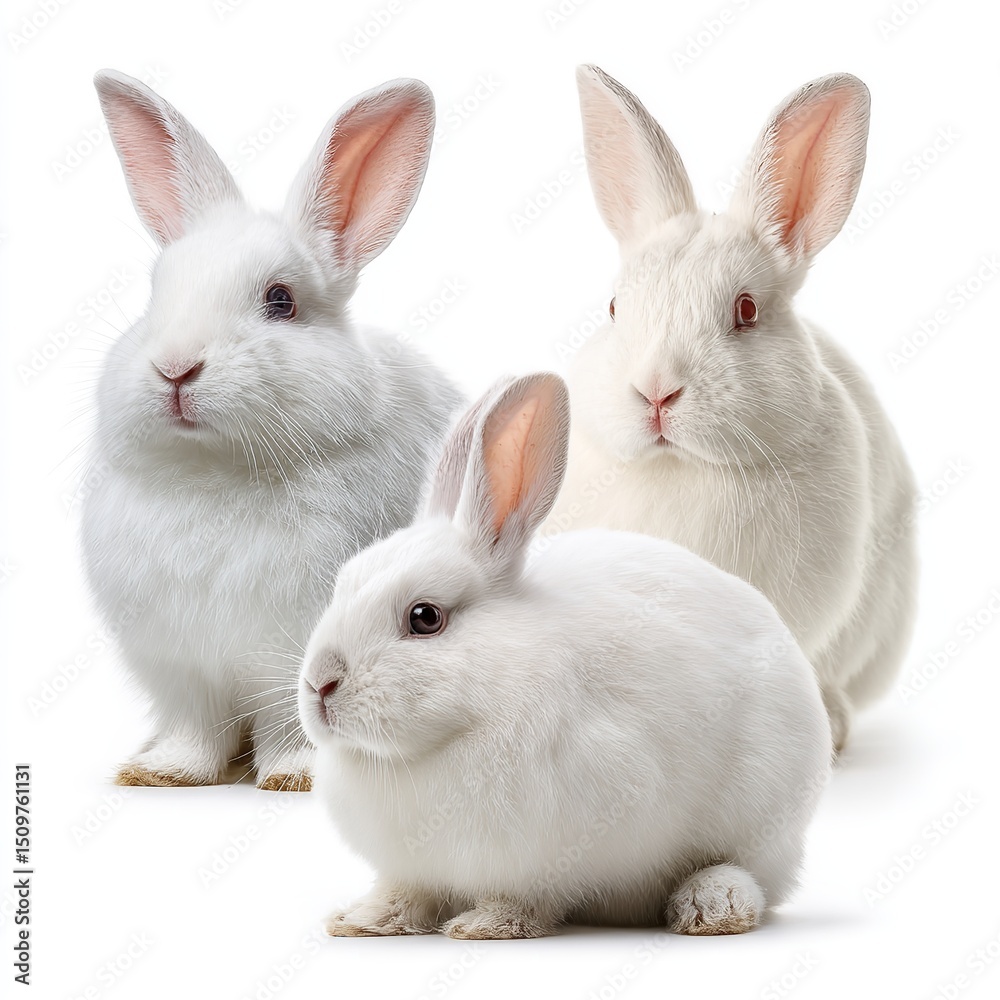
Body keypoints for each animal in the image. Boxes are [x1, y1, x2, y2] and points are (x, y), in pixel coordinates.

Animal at [81, 70, 463, 792]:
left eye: (280, 301)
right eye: (156, 295)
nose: (175, 367)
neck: (213, 472)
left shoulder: (295, 651)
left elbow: (294, 722)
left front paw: (296, 778)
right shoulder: (182, 672)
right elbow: (195, 730)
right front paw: (163, 773)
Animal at [299, 372, 832, 939]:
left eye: (425, 617)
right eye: (341, 584)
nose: (319, 685)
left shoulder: (560, 843)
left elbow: (528, 897)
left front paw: (486, 924)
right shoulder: (415, 867)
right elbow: (408, 892)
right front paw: (363, 918)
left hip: (763, 814)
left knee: (747, 871)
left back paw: (714, 906)